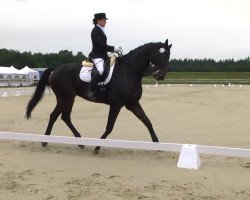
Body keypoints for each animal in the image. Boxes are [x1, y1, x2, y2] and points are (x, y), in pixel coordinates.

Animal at [26, 38, 172, 152]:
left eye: (169, 57)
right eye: (162, 56)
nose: (160, 76)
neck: (129, 72)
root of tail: (55, 69)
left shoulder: (132, 103)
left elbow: (147, 121)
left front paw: (157, 143)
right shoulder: (116, 105)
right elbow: (109, 127)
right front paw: (97, 147)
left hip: (66, 98)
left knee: (60, 116)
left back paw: (67, 141)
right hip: (66, 97)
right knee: (60, 116)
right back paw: (53, 141)